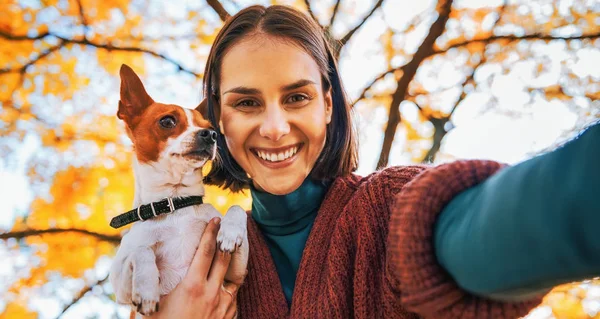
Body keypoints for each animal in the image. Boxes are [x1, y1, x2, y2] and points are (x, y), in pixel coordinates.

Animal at [109, 63, 247, 316]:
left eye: (210, 127)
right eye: (167, 121)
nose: (211, 135)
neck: (175, 203)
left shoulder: (235, 274)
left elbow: (235, 208)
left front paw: (230, 232)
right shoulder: (120, 284)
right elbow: (141, 251)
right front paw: (147, 290)